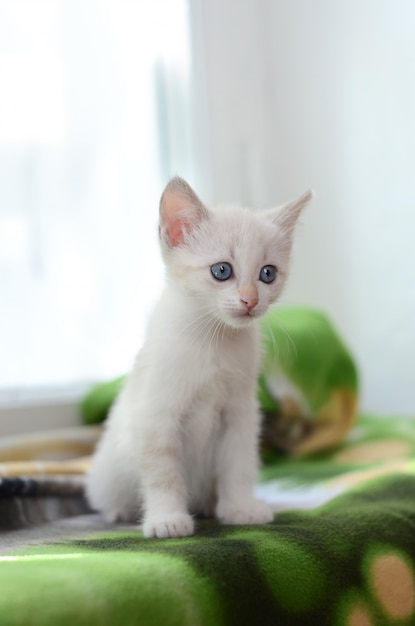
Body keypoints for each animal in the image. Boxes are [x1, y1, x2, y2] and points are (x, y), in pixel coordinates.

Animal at [86, 177, 310, 536]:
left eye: (268, 274)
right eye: (221, 270)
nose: (250, 300)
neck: (213, 340)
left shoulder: (240, 415)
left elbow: (238, 464)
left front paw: (240, 507)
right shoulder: (156, 415)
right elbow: (163, 474)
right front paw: (167, 520)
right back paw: (121, 511)